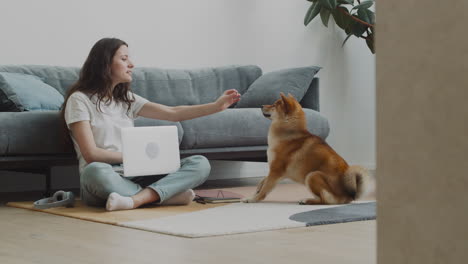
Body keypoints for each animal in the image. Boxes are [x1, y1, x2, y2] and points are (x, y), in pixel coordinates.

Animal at [243, 94, 372, 205]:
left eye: (274, 105)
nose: (261, 106)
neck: (289, 133)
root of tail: (348, 196)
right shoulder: (275, 172)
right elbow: (262, 181)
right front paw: (256, 191)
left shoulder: (276, 171)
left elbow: (265, 189)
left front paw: (252, 199)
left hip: (311, 175)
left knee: (324, 200)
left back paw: (307, 200)